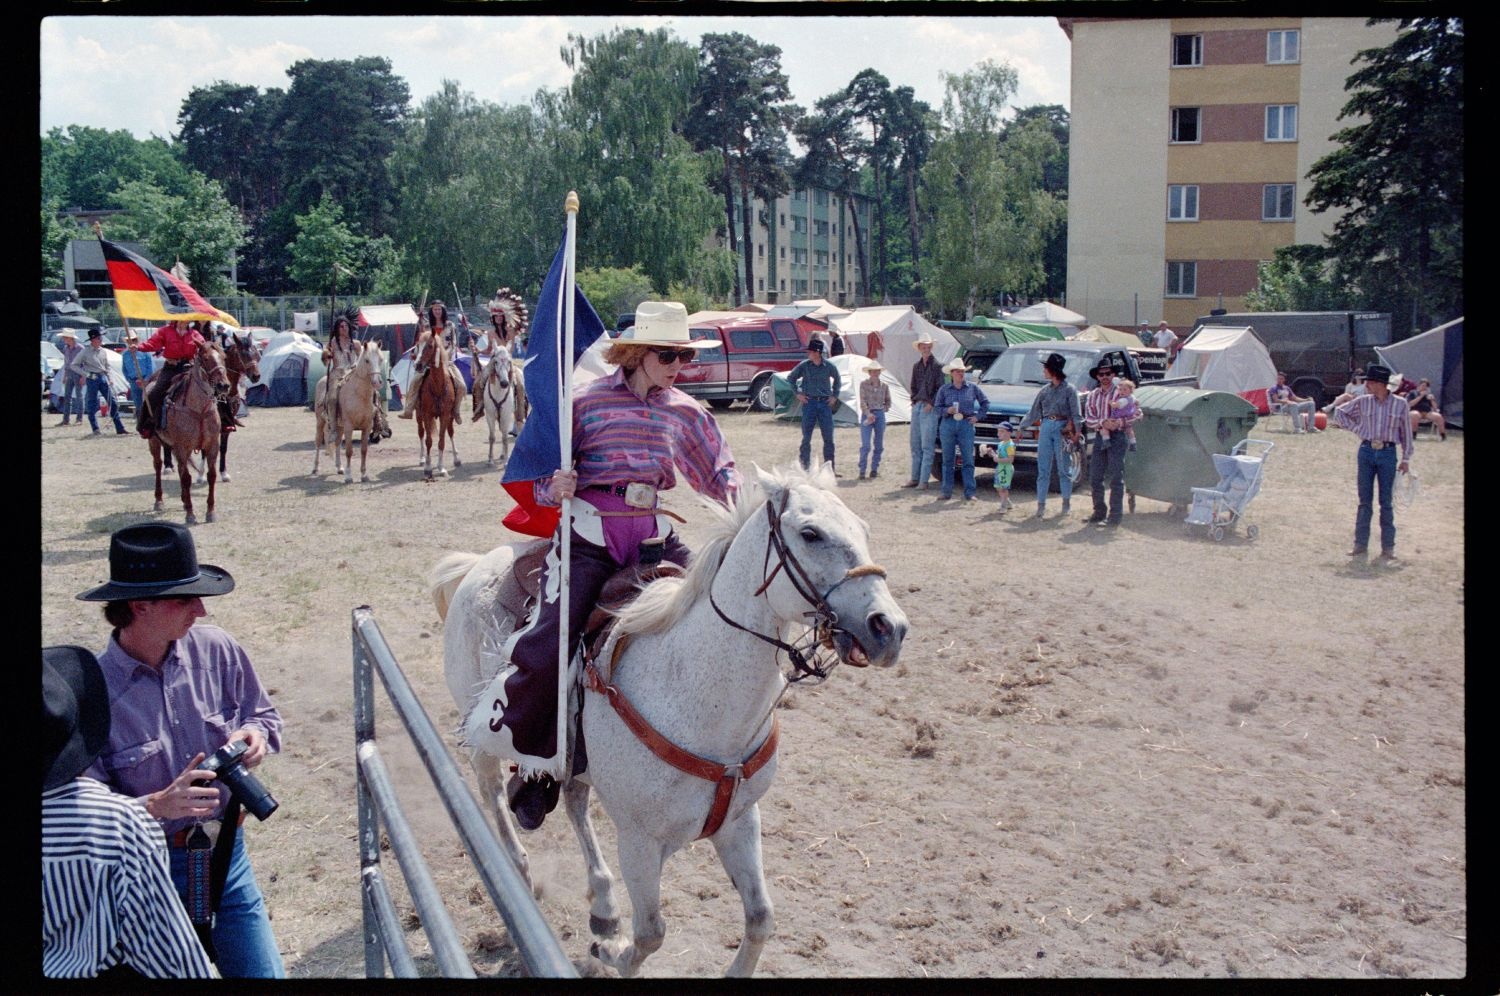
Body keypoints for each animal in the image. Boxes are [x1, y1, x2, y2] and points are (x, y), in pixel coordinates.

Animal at [147, 342, 229, 525]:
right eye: (205, 358)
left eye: (224, 357)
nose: (224, 385)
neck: (198, 410)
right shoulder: (182, 447)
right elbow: (186, 478)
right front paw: (190, 514)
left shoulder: (212, 445)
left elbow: (211, 475)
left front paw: (210, 512)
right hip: (154, 441)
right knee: (158, 465)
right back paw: (159, 501)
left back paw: (184, 501)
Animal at [429, 462, 906, 978]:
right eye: (810, 533)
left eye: (863, 530)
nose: (890, 628)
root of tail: (478, 563)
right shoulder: (639, 841)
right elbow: (650, 933)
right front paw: (612, 953)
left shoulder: (741, 820)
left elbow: (761, 917)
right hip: (485, 734)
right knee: (493, 791)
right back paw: (518, 875)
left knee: (574, 801)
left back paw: (603, 905)